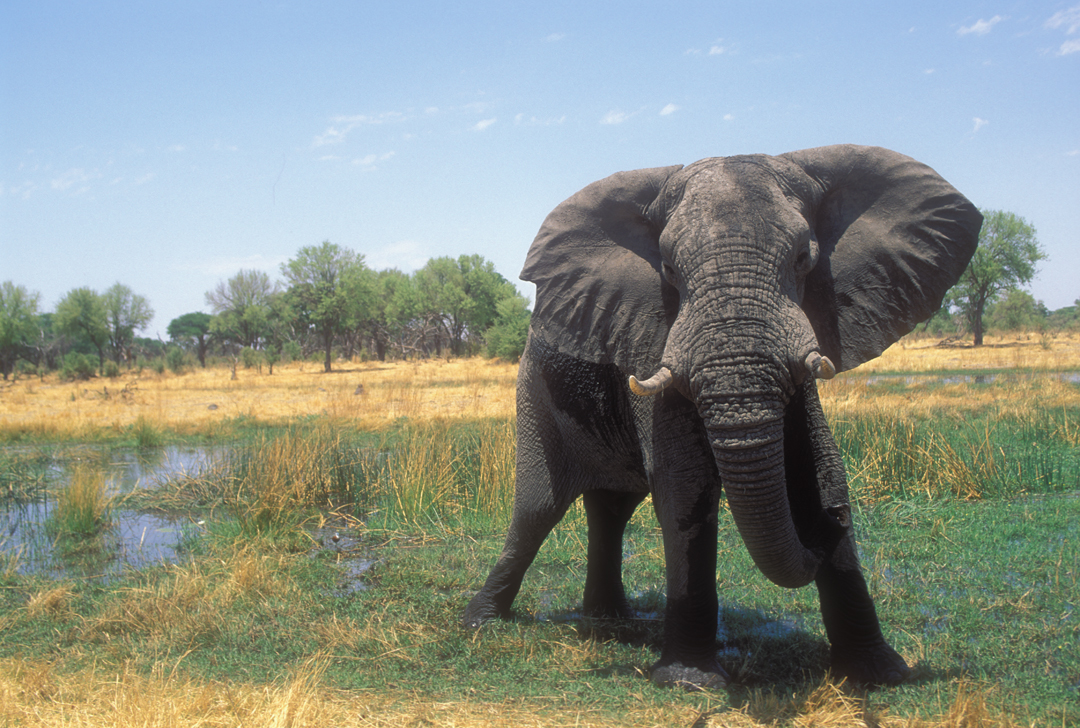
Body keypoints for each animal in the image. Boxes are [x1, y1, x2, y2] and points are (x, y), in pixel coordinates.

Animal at [463, 144, 981, 689]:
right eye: (669, 270)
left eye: (804, 259)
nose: (832, 522)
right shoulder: (652, 341)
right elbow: (685, 487)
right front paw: (689, 681)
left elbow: (822, 467)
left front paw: (879, 673)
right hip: (534, 389)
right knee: (538, 508)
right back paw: (481, 622)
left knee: (612, 506)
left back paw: (611, 620)